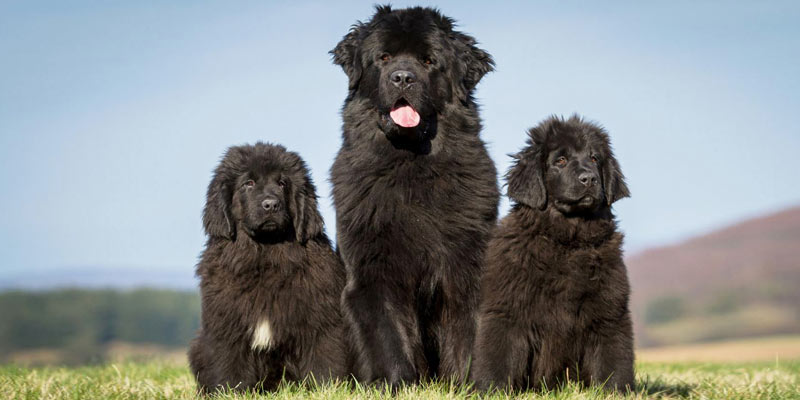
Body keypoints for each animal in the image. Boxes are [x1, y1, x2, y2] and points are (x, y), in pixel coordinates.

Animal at [189, 143, 352, 394]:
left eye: (282, 183)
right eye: (249, 183)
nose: (271, 204)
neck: (265, 256)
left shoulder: (320, 320)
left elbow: (323, 362)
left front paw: (326, 390)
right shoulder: (228, 324)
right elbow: (229, 366)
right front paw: (231, 392)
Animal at [328, 4, 496, 388]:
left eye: (429, 60)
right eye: (384, 57)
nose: (402, 78)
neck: (411, 166)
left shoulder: (468, 267)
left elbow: (467, 334)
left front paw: (467, 386)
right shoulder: (373, 271)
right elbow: (388, 336)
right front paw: (398, 384)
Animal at [472, 115, 636, 390]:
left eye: (594, 159)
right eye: (560, 160)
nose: (589, 178)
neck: (567, 241)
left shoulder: (609, 311)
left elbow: (612, 362)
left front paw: (615, 392)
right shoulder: (507, 309)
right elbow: (498, 358)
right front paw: (491, 390)